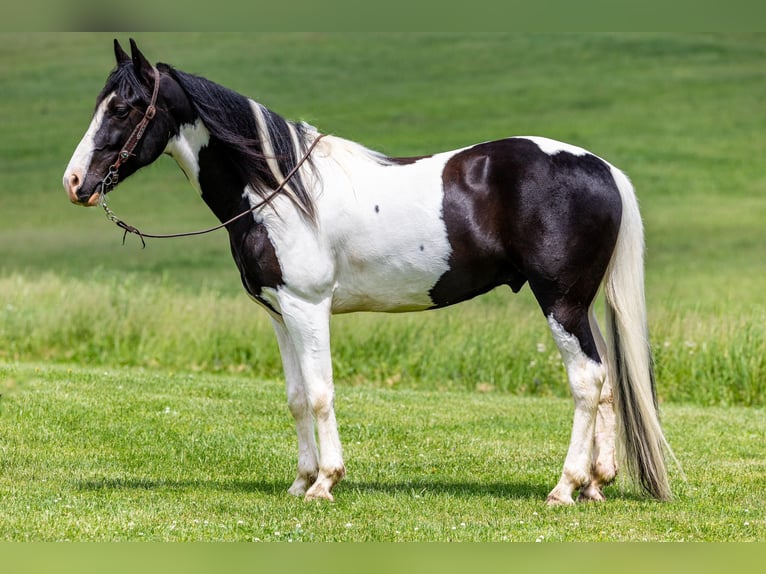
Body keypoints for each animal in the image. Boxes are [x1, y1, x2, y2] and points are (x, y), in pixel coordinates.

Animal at [63, 40, 676, 506]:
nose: (74, 183)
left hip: (560, 302)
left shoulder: (308, 307)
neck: (280, 190)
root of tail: (601, 167)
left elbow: (319, 393)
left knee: (587, 382)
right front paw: (301, 481)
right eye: (99, 104)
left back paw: (564, 488)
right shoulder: (280, 313)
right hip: (582, 307)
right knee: (605, 383)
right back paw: (596, 484)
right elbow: (294, 396)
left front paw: (325, 484)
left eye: (123, 109)